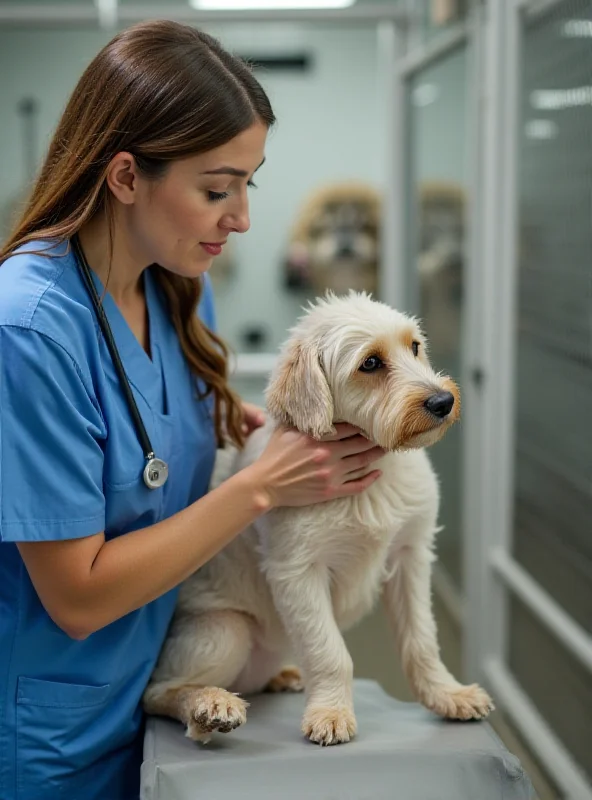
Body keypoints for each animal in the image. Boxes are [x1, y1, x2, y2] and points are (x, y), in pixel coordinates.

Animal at [145, 292, 494, 744]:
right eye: (370, 363)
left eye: (415, 346)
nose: (443, 402)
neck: (371, 477)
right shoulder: (298, 571)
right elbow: (330, 653)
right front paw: (331, 712)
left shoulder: (411, 557)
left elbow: (421, 641)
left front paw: (447, 695)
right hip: (225, 631)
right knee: (158, 692)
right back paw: (210, 707)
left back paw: (279, 677)